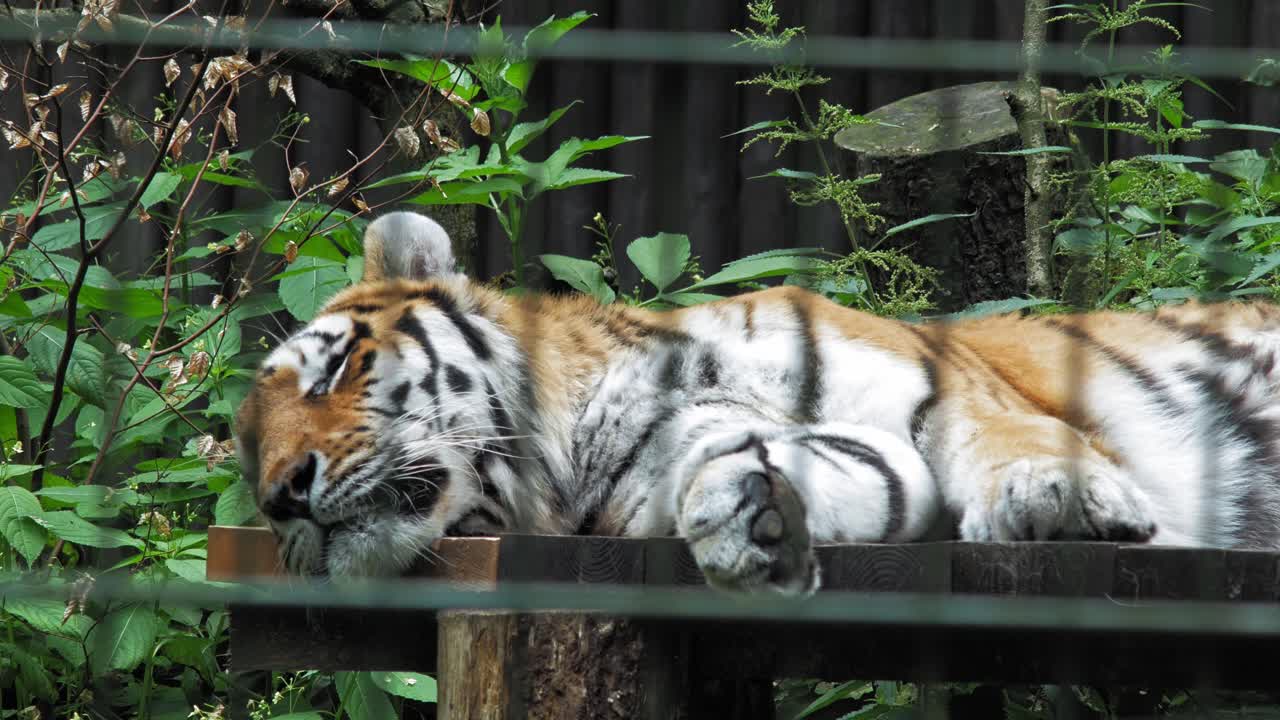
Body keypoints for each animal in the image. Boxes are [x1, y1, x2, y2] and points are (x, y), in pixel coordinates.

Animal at [234, 210, 1280, 595]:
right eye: (247, 457)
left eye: (336, 370)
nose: (282, 496)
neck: (579, 437)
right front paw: (752, 523)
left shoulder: (928, 379)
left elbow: (997, 427)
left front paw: (1051, 496)